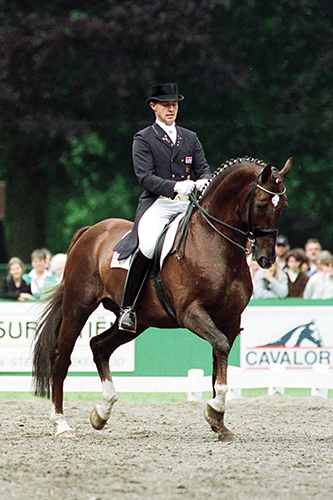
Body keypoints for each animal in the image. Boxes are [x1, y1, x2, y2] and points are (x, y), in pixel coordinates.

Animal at [32, 156, 290, 442]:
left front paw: (219, 424)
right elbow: (220, 347)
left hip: (137, 321)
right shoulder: (191, 313)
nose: (266, 258)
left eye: (283, 206)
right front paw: (214, 411)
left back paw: (102, 412)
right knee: (61, 359)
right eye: (260, 204)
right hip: (78, 308)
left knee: (99, 346)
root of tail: (92, 232)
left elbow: (218, 361)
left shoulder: (230, 320)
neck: (214, 245)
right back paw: (61, 424)